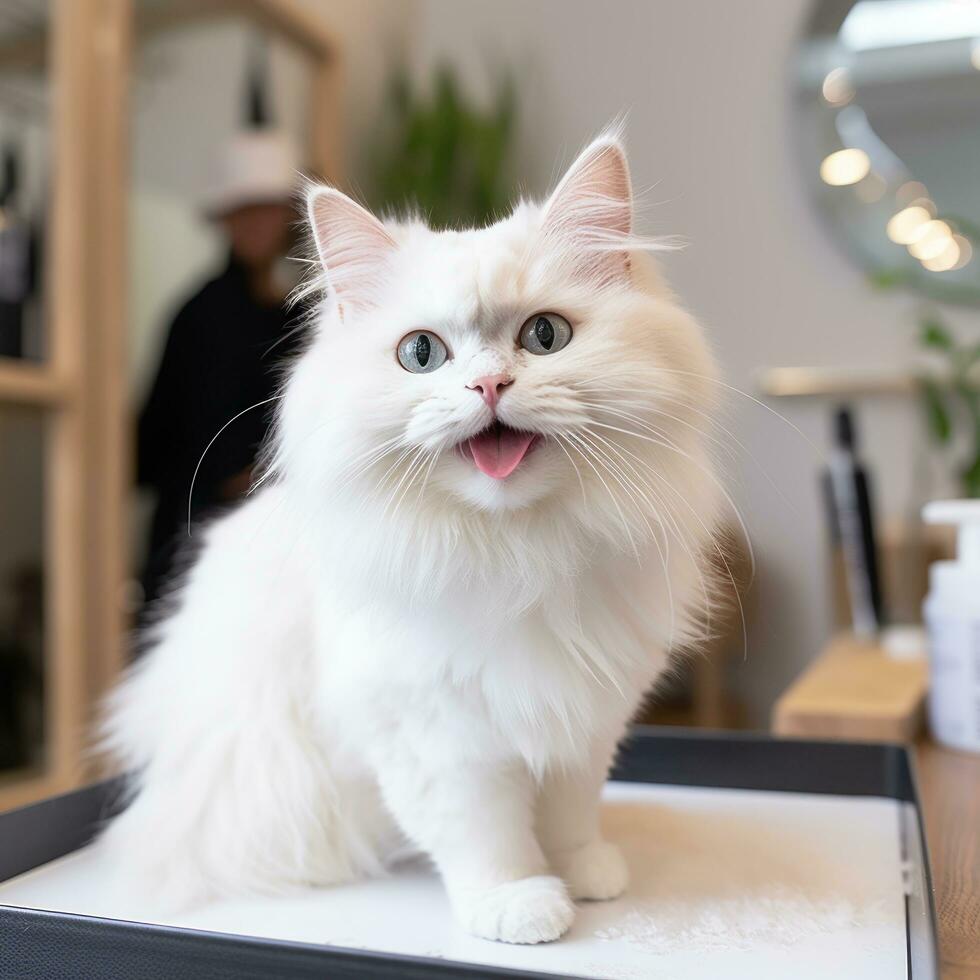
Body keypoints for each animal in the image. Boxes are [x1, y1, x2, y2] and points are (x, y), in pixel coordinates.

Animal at [101, 134, 720, 944]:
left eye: (545, 336)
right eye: (421, 354)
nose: (489, 387)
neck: (519, 552)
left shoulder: (584, 715)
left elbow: (570, 812)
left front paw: (586, 877)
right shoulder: (431, 732)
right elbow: (486, 834)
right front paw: (520, 906)